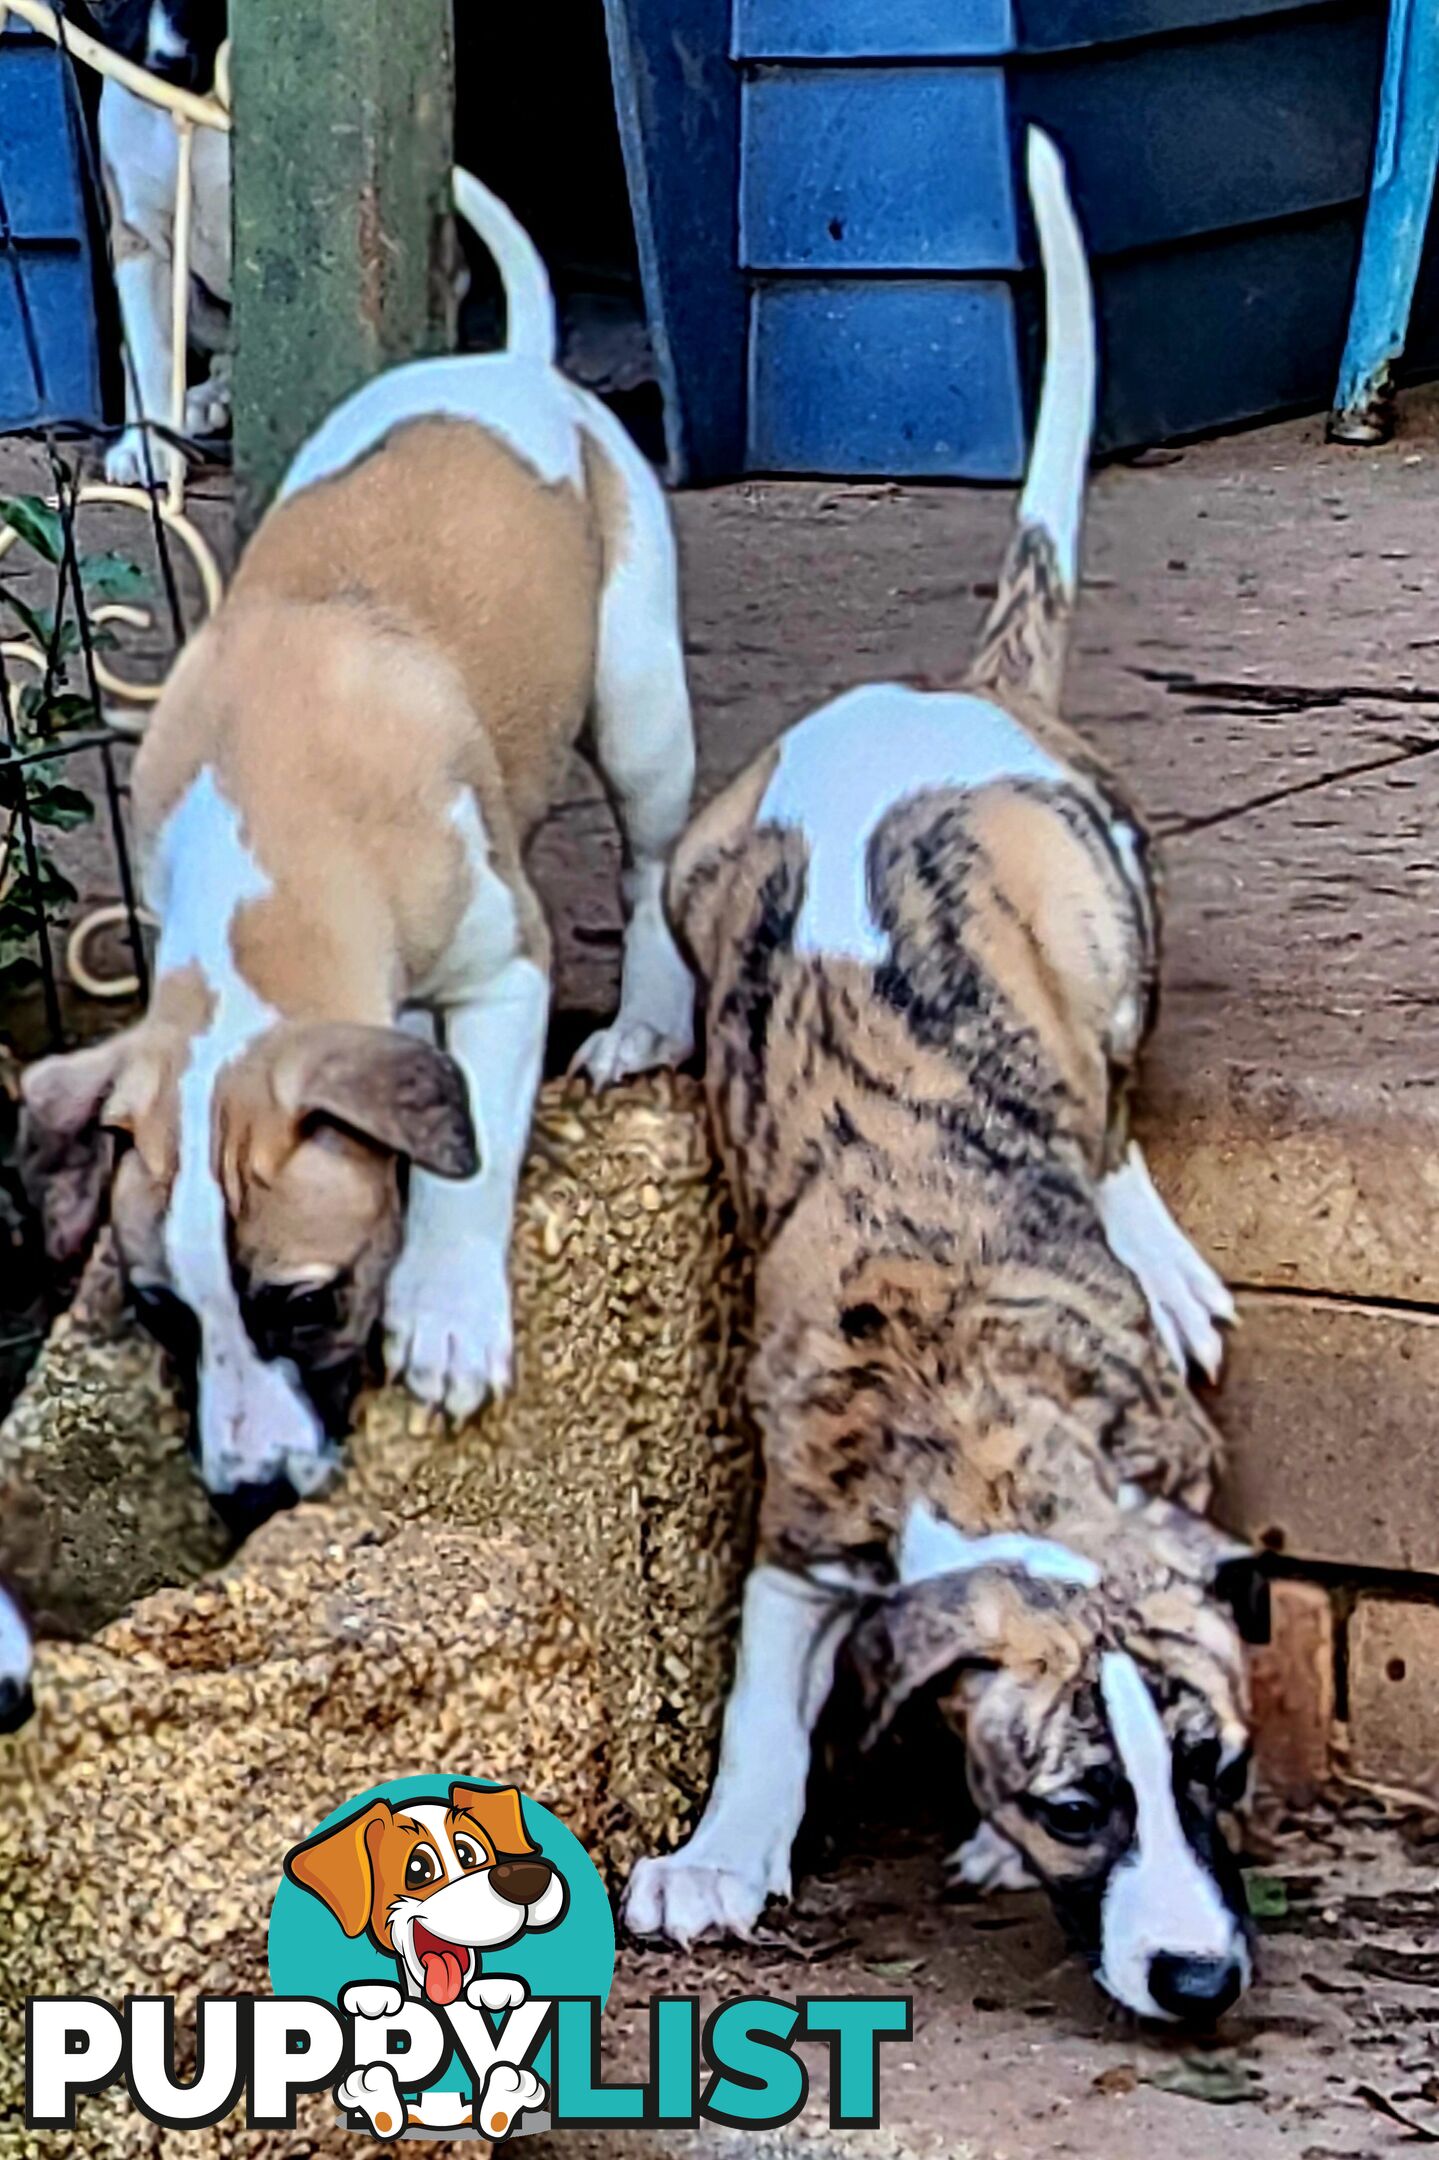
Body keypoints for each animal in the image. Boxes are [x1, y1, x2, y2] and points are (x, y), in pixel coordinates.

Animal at [21, 168, 695, 1512]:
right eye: (165, 1315)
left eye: (305, 1301)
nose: (248, 1492)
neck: (268, 855)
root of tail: (512, 366)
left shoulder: (507, 965)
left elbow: (470, 1162)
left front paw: (446, 1316)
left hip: (639, 695)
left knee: (651, 856)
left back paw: (644, 1025)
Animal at [622, 135, 1261, 2021]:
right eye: (1075, 1807)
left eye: (1220, 1772)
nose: (1196, 1981)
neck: (989, 1419)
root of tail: (942, 693)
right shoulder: (799, 1531)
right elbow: (762, 1706)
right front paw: (724, 1852)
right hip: (707, 854)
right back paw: (638, 1021)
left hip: (1100, 901)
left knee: (1110, 1104)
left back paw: (1160, 1246)